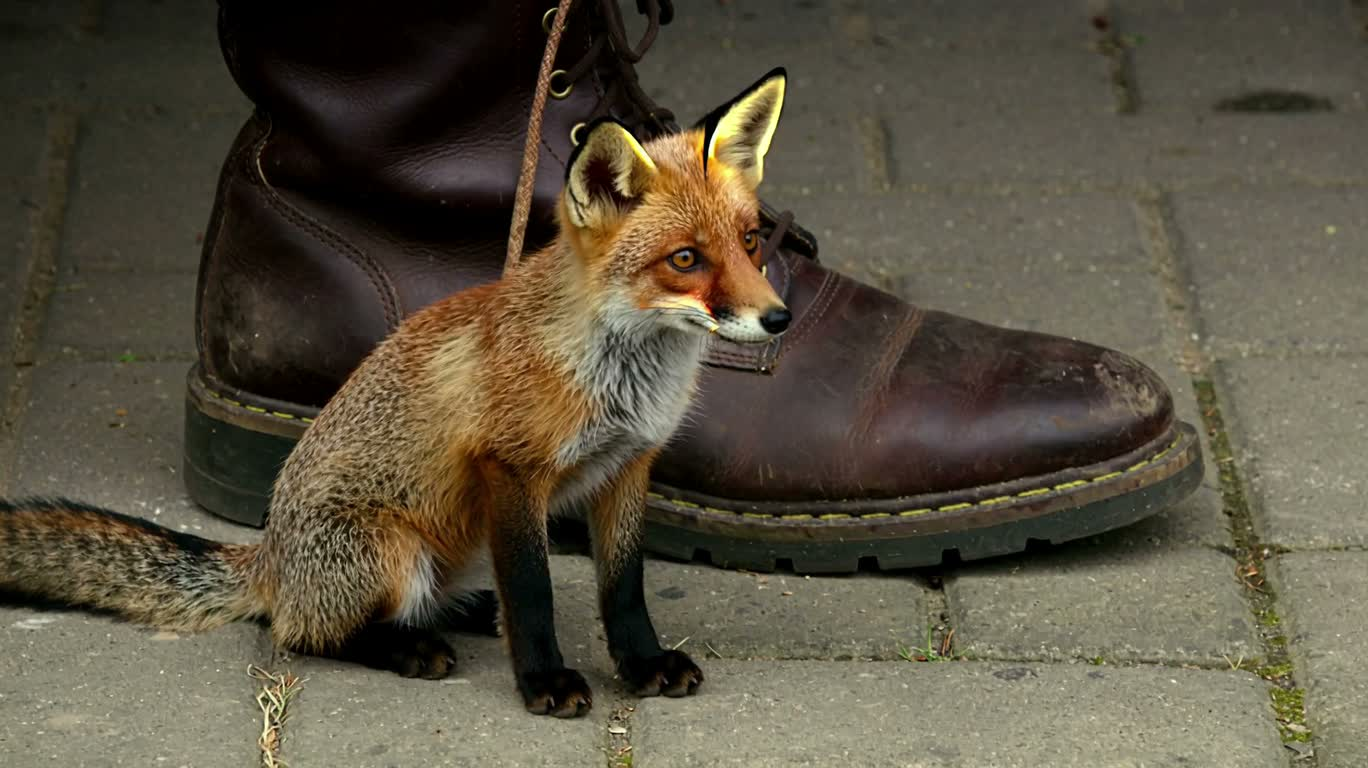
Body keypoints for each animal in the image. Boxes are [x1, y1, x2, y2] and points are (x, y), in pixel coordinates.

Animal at [0, 69, 790, 717]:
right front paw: (543, 680)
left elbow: (622, 587)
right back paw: (410, 645)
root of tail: (270, 559)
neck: (620, 381)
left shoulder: (629, 465)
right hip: (389, 554)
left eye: (752, 242)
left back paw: (462, 610)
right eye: (685, 259)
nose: (779, 318)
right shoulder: (511, 468)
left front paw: (642, 662)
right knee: (306, 632)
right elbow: (533, 589)